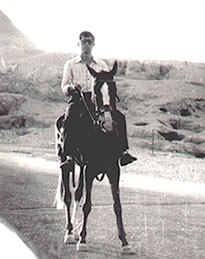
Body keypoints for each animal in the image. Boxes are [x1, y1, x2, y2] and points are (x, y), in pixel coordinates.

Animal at [54, 61, 135, 256]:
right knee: (69, 196)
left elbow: (117, 205)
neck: (101, 135)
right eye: (96, 91)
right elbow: (87, 205)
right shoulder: (89, 169)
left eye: (113, 89)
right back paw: (70, 233)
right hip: (67, 164)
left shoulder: (114, 170)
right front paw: (83, 240)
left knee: (77, 194)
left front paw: (125, 242)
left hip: (80, 167)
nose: (108, 122)